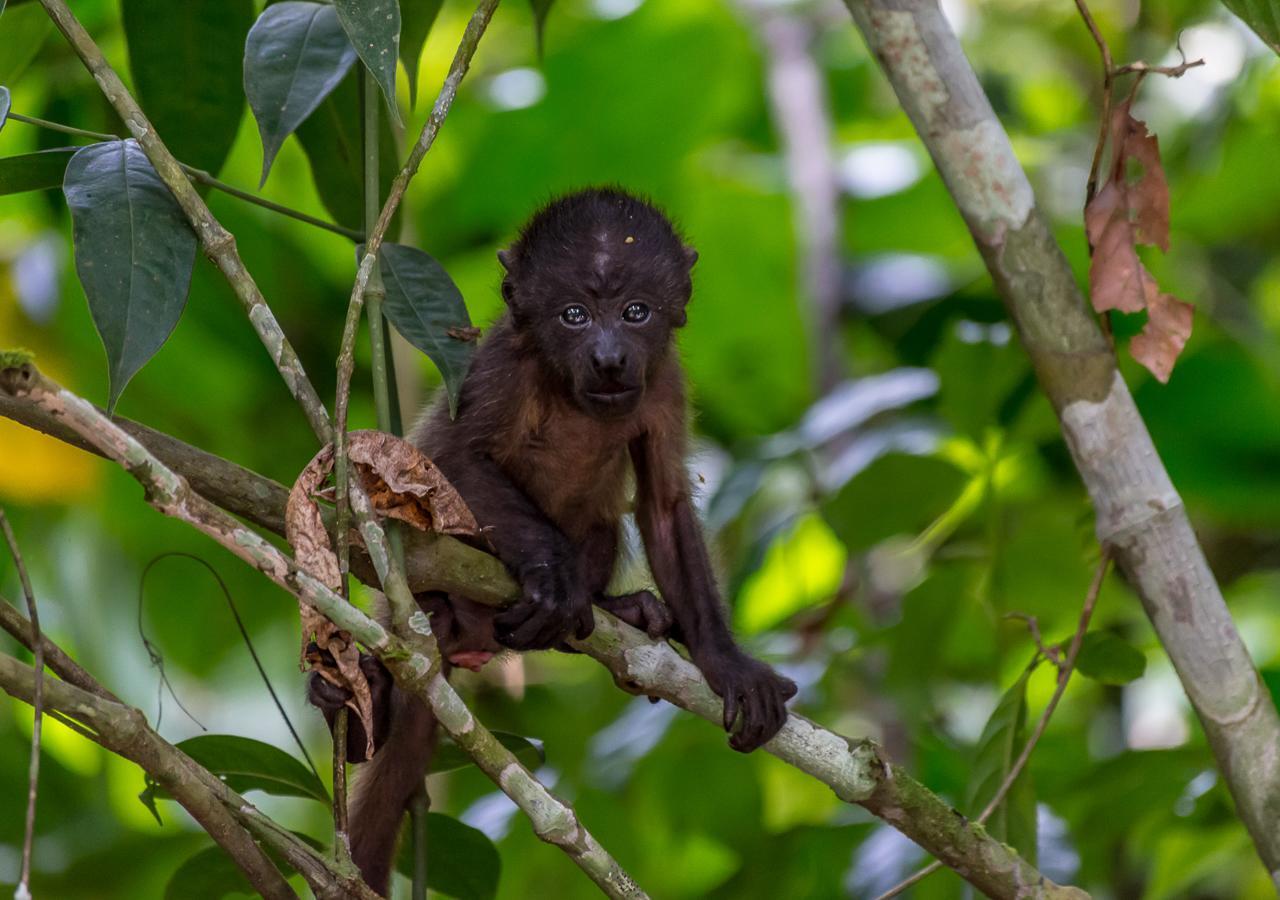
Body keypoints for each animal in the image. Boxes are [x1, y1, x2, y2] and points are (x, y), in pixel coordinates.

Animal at [309, 184, 793, 896]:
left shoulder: (665, 379)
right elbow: (454, 462)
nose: (611, 356)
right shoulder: (501, 365)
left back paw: (623, 612)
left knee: (603, 524)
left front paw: (725, 660)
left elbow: (665, 505)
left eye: (636, 312)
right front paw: (554, 574)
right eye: (573, 315)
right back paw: (351, 699)